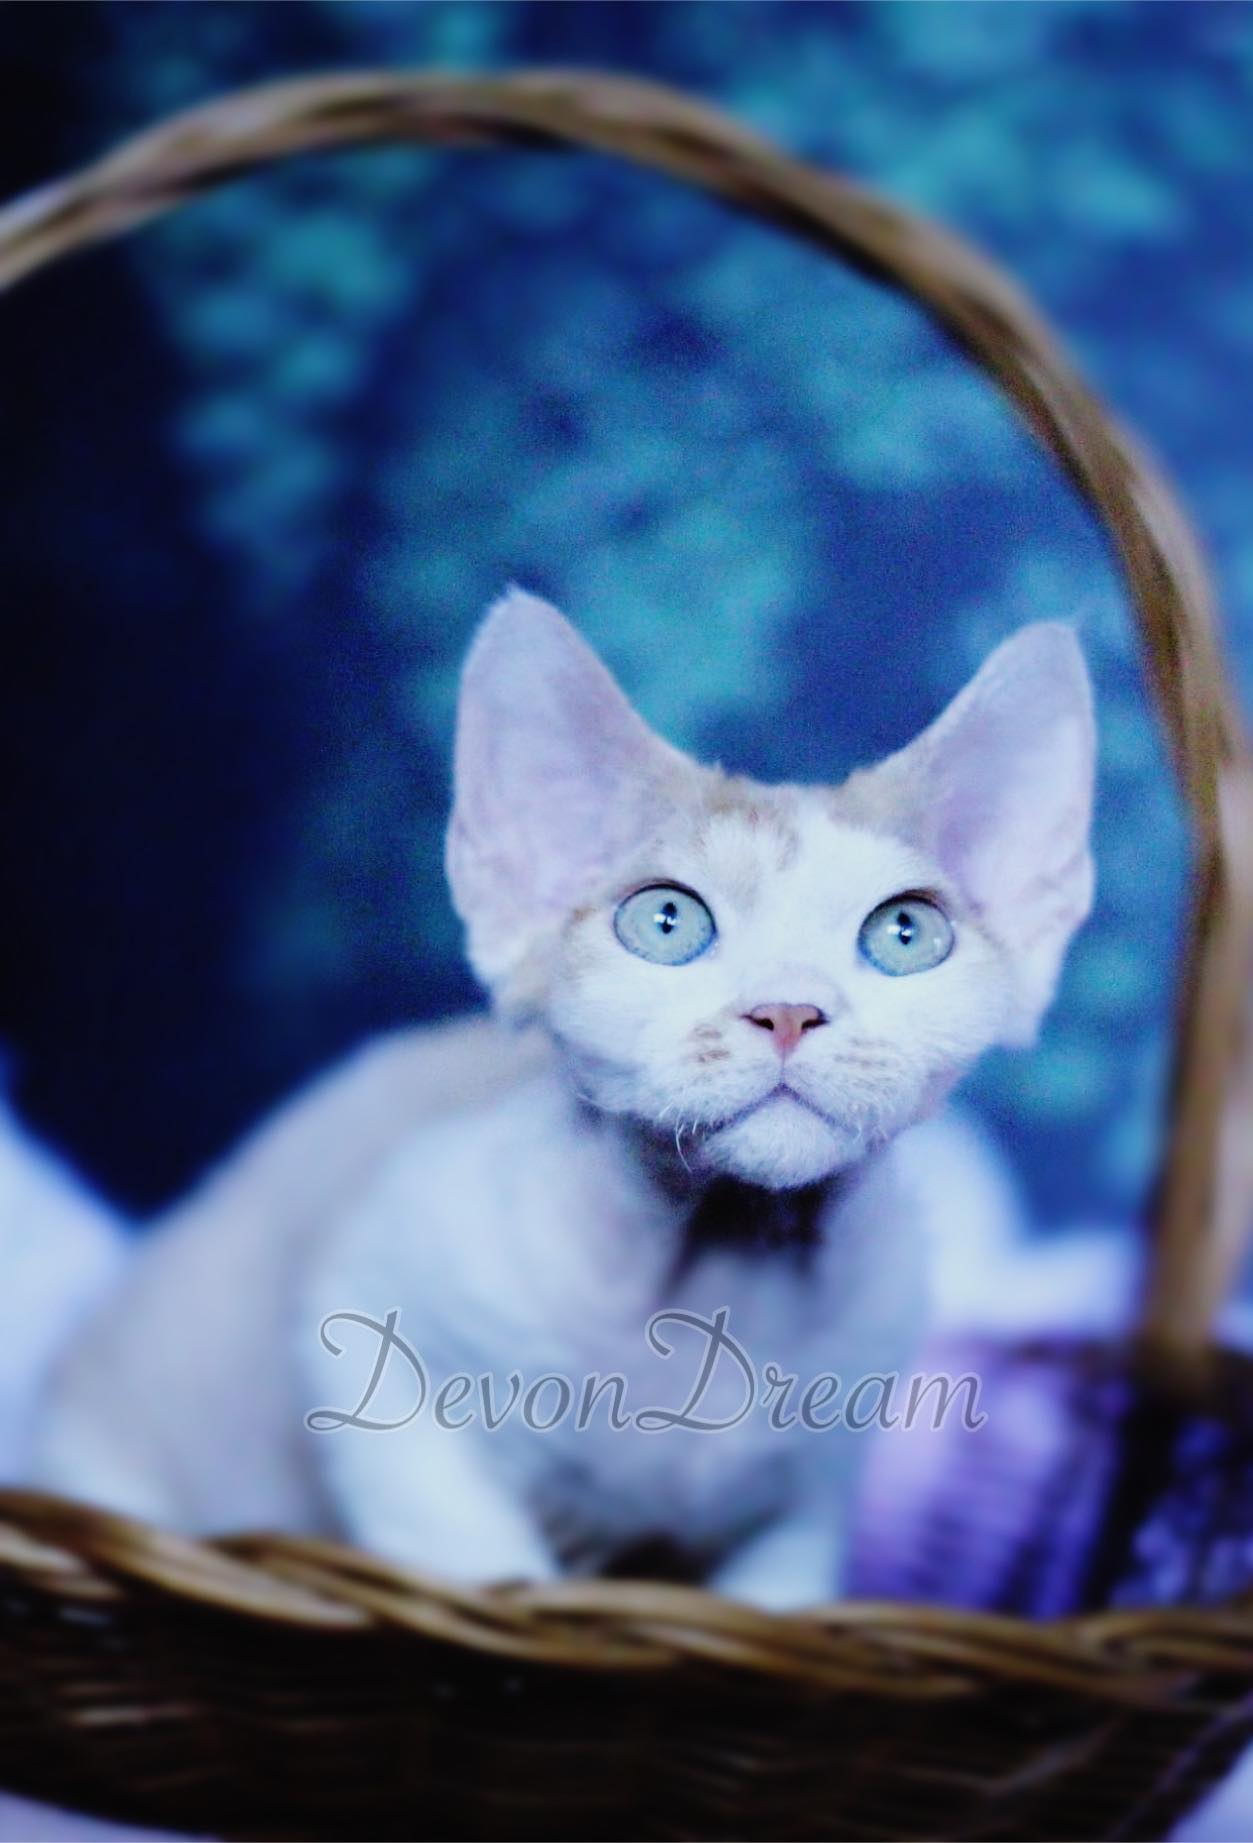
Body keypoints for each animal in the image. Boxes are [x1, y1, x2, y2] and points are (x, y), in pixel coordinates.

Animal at [31, 589, 1095, 1608]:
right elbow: (476, 1561)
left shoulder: (817, 1486)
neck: (726, 1264)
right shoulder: (368, 1322)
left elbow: (779, 1596)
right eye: (666, 921)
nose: (788, 1010)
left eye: (905, 935)